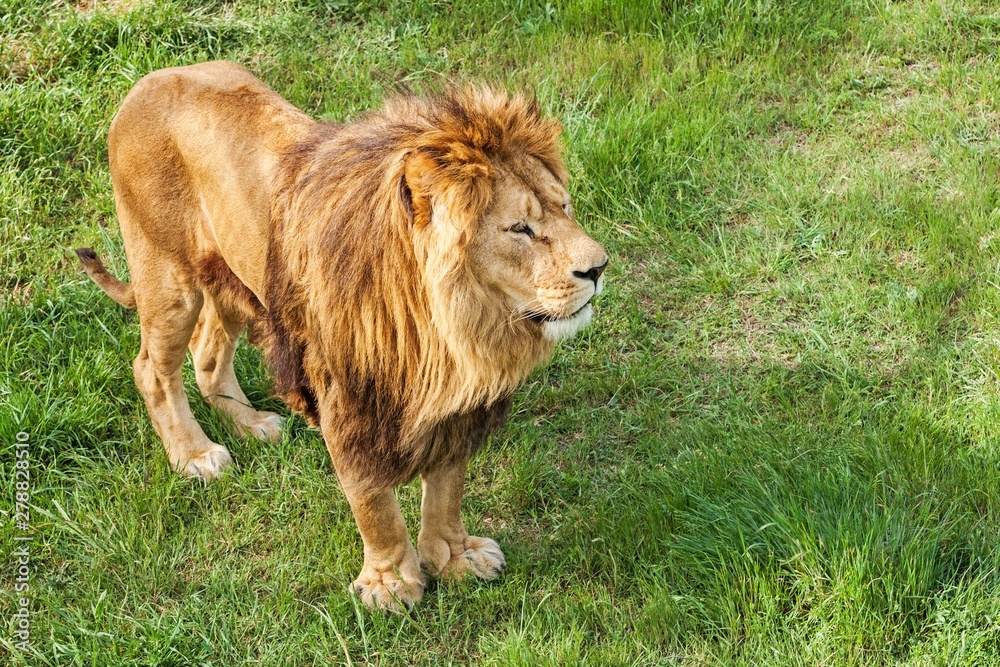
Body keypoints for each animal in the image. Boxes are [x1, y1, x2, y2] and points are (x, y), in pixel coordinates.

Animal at [76, 60, 608, 611]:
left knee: (207, 354)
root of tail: (149, 81)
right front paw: (391, 584)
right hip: (168, 277)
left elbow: (447, 487)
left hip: (232, 275)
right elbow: (372, 501)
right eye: (520, 228)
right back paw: (195, 454)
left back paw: (252, 424)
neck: (451, 328)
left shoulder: (456, 401)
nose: (599, 268)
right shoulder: (347, 397)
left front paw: (454, 556)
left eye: (565, 207)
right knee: (152, 369)